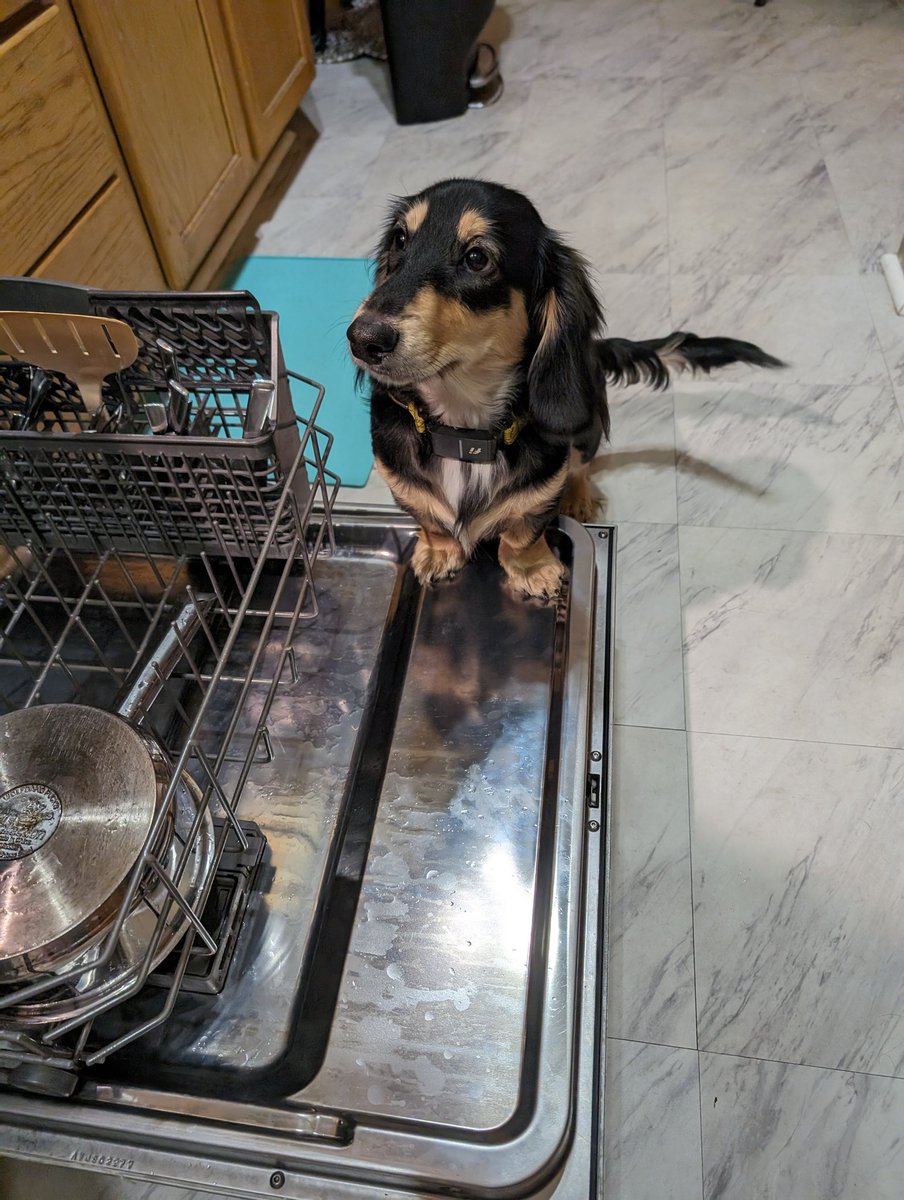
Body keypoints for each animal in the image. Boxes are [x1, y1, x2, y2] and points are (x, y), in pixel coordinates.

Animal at [348, 177, 782, 600]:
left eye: (476, 258)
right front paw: (439, 552)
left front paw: (533, 569)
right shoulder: (401, 481)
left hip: (587, 427)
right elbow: (430, 519)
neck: (463, 433)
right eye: (399, 239)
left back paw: (577, 497)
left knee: (580, 465)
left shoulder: (542, 486)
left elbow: (523, 531)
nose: (363, 339)